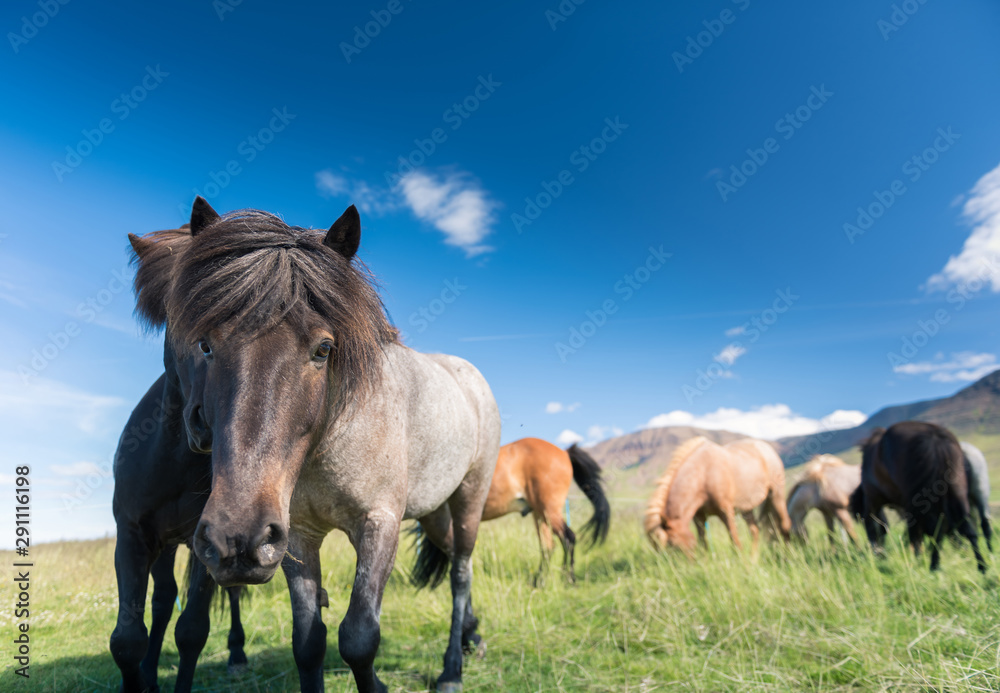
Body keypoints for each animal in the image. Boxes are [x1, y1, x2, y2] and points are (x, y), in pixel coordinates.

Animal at [110, 337, 252, 692]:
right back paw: (149, 673)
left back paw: (237, 654)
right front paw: (141, 677)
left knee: (231, 593)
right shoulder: (133, 535)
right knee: (164, 598)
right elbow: (127, 639)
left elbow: (191, 631)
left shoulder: (215, 542)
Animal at [481, 438, 610, 584]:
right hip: (540, 515)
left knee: (568, 538)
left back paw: (568, 579)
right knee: (548, 546)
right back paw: (539, 581)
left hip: (549, 512)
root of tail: (564, 452)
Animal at [644, 436, 791, 555]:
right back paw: (753, 560)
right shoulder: (699, 517)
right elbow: (703, 543)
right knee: (755, 531)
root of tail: (766, 446)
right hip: (746, 508)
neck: (703, 475)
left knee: (785, 524)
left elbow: (735, 541)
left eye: (672, 545)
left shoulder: (726, 512)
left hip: (776, 495)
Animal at [848, 422, 986, 572]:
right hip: (957, 490)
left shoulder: (874, 498)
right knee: (966, 528)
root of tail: (937, 438)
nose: (879, 555)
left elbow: (879, 526)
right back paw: (980, 566)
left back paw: (932, 564)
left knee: (931, 529)